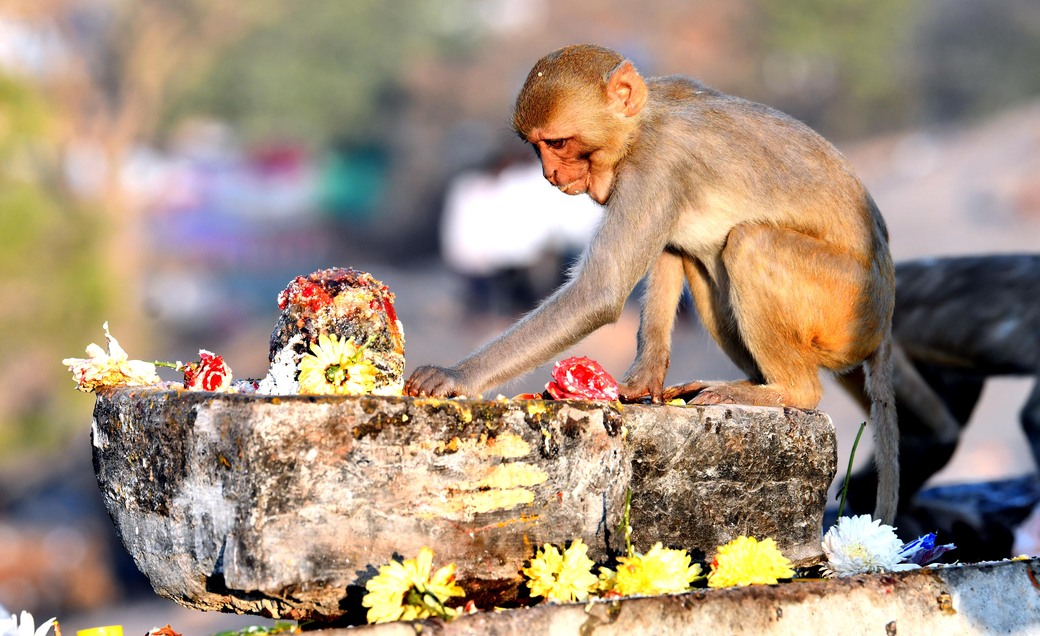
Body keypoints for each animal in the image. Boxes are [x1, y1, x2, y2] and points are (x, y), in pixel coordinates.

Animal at [405, 43, 902, 521]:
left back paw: (788, 390)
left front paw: (455, 376)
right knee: (701, 257)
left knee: (749, 244)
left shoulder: (655, 166)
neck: (640, 126)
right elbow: (668, 251)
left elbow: (600, 292)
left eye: (559, 143)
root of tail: (883, 324)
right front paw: (642, 382)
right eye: (536, 147)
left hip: (845, 306)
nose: (550, 175)